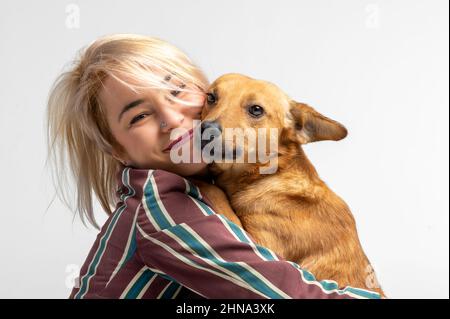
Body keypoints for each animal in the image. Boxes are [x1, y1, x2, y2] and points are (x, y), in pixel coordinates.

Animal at [190, 74, 384, 296]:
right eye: (211, 97)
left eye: (256, 109)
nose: (205, 129)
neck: (267, 175)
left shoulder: (262, 247)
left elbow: (215, 191)